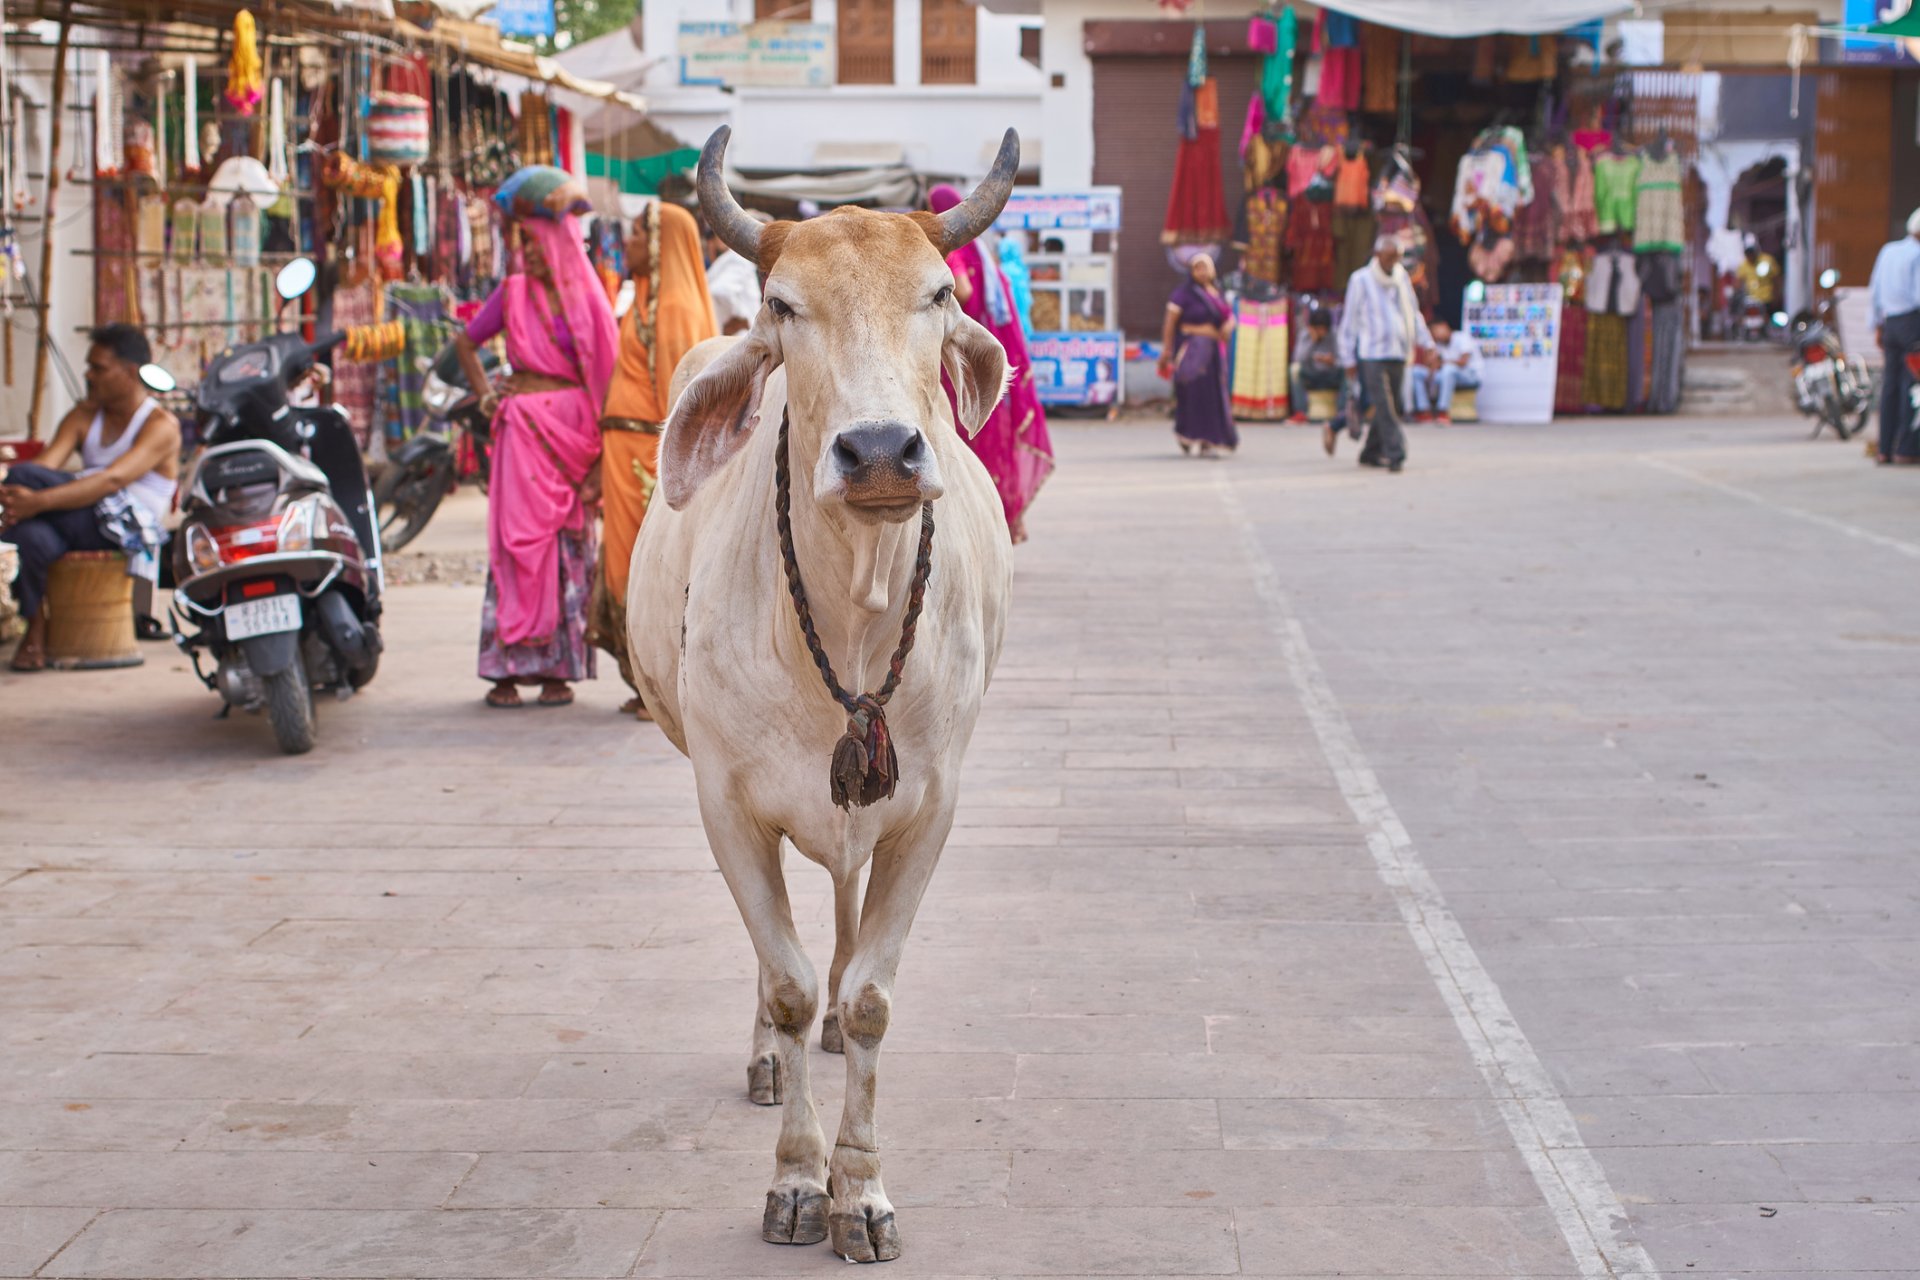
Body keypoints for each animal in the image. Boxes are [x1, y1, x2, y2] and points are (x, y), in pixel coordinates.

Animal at [625, 130, 1021, 1258]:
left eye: (939, 291)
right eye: (785, 305)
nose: (880, 451)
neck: (853, 610)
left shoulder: (929, 805)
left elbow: (874, 993)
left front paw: (863, 1189)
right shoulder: (725, 804)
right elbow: (792, 981)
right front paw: (800, 1180)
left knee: (842, 916)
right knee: (789, 963)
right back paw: (771, 1053)